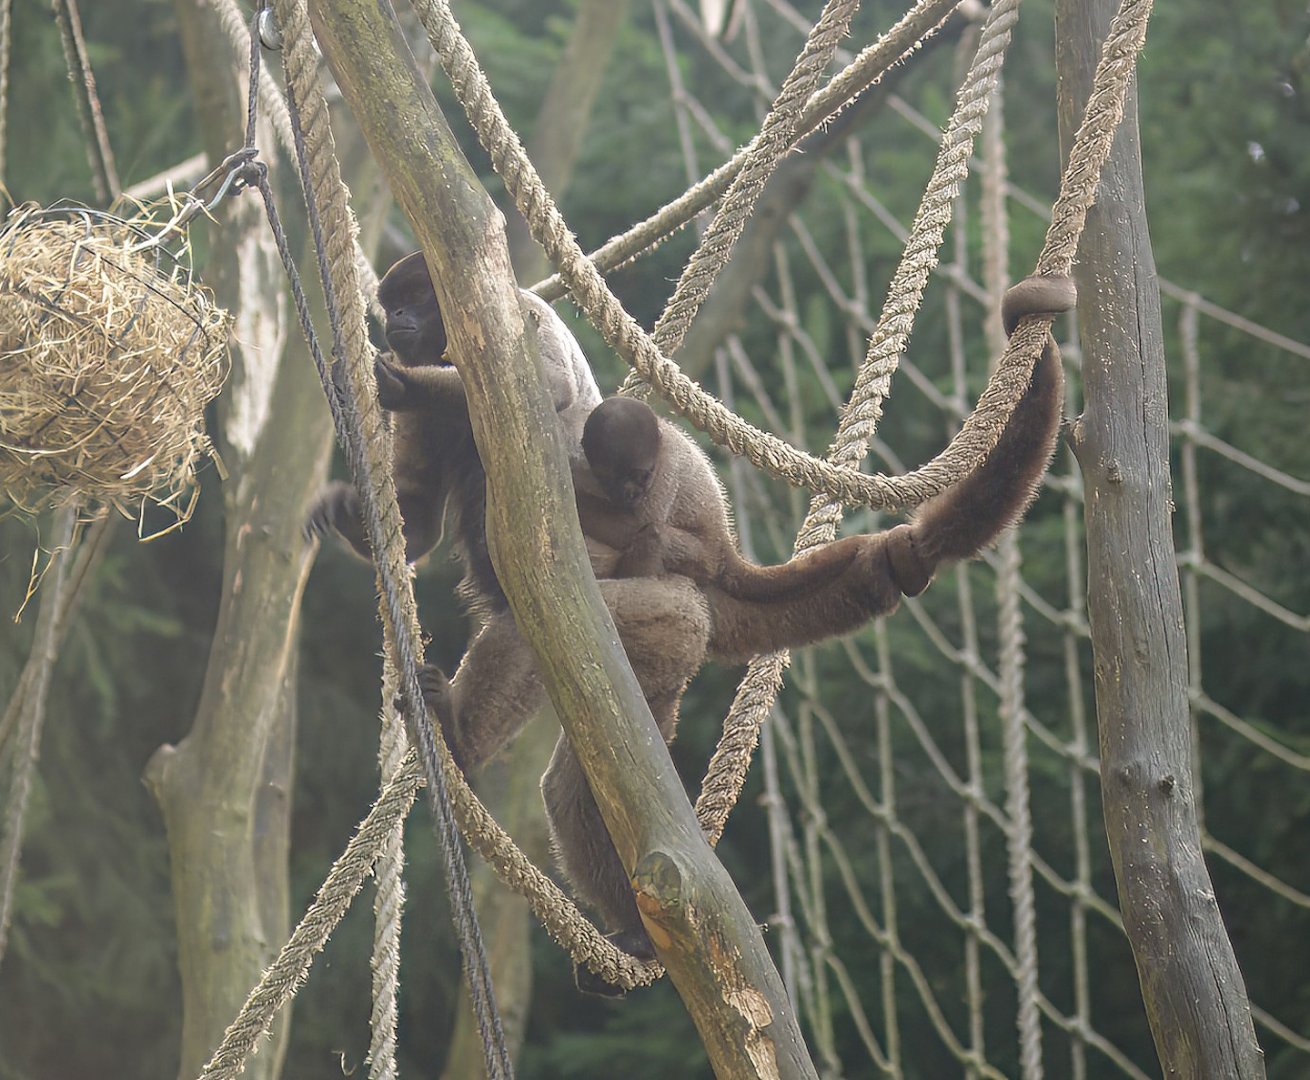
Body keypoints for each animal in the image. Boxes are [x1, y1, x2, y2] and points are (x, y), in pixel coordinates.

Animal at [305, 251, 602, 615]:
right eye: (392, 305)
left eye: (417, 296)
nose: (397, 315)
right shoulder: (419, 413)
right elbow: (418, 523)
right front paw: (346, 513)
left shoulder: (524, 312)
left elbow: (553, 386)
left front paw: (399, 384)